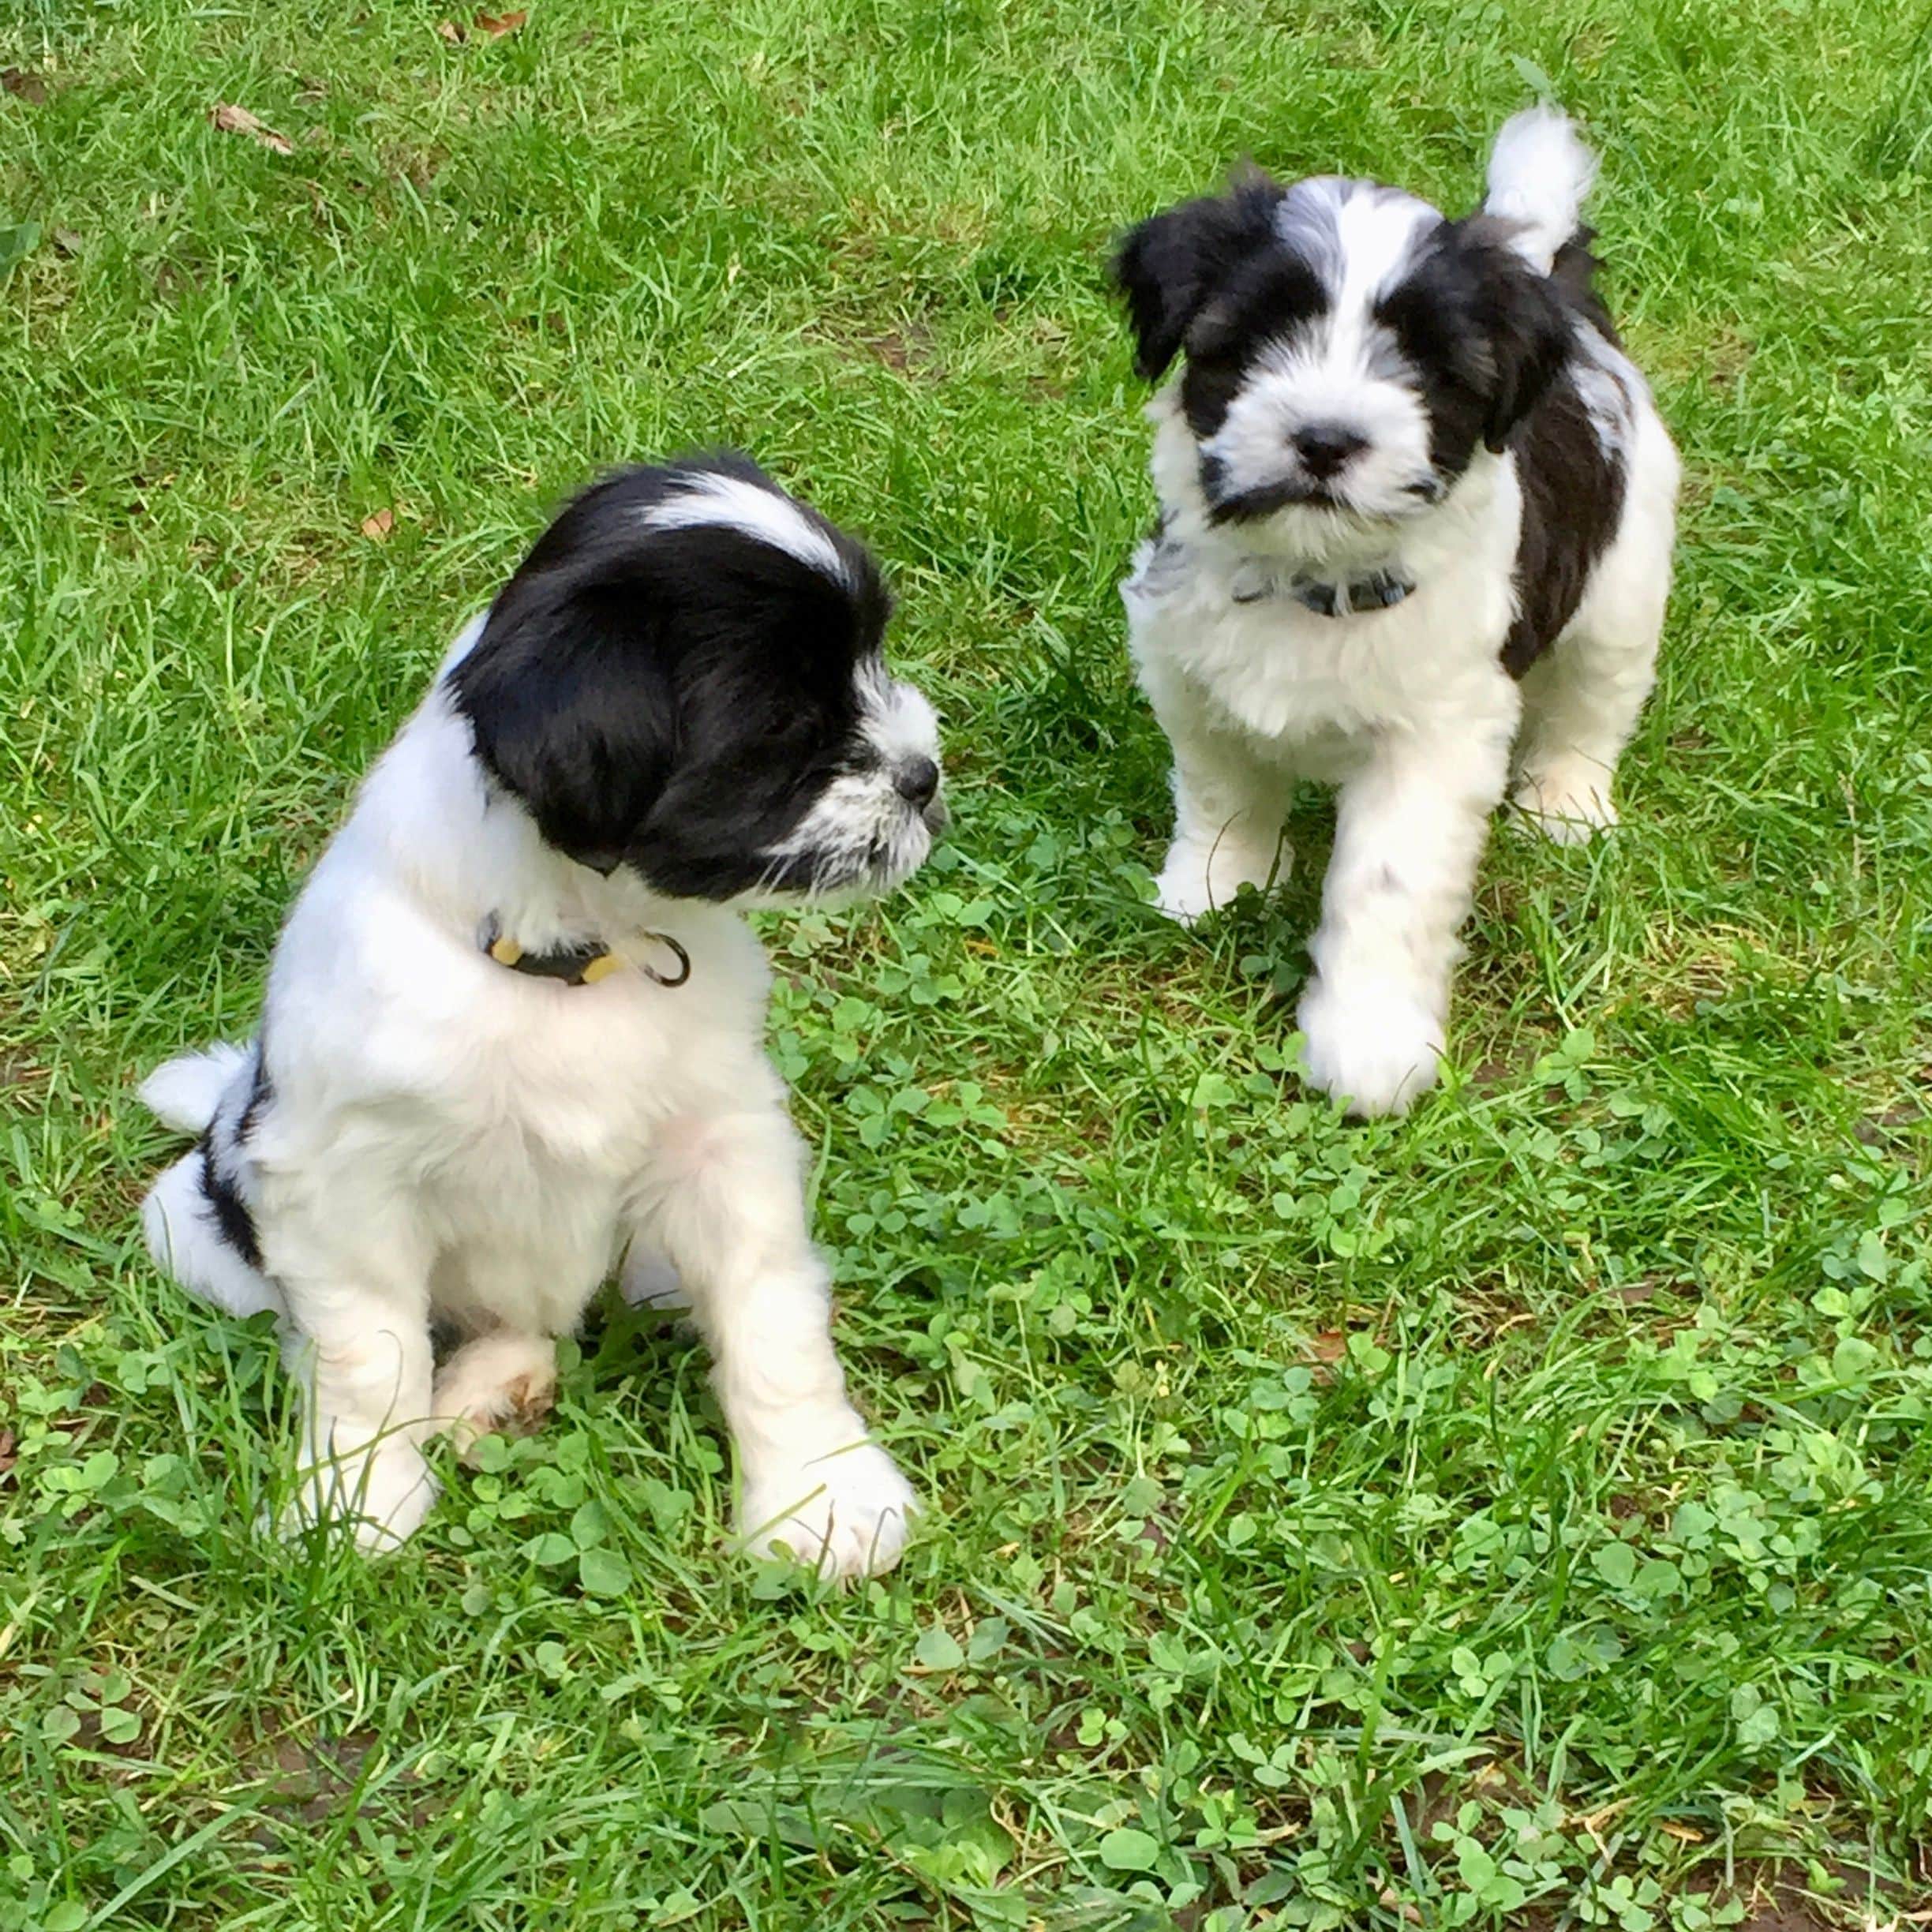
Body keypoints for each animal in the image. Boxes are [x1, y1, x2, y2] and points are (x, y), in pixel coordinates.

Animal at [136, 459, 942, 1576]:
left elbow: (773, 1312)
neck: (573, 964)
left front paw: (823, 1497)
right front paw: (355, 1506)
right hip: (188, 1227)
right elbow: (367, 1352)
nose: (925, 775)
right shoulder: (343, 1185)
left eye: (871, 656)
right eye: (785, 728)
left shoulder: (723, 1142)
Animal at [1120, 117, 1676, 1120]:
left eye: (1424, 364)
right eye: (1260, 333)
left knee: (1595, 699)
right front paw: (1219, 886)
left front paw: (1369, 1047)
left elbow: (1386, 888)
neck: (1315, 578)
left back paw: (1567, 803)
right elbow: (1221, 789)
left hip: (1625, 577)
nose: (1325, 440)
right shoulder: (1187, 667)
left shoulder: (1434, 743)